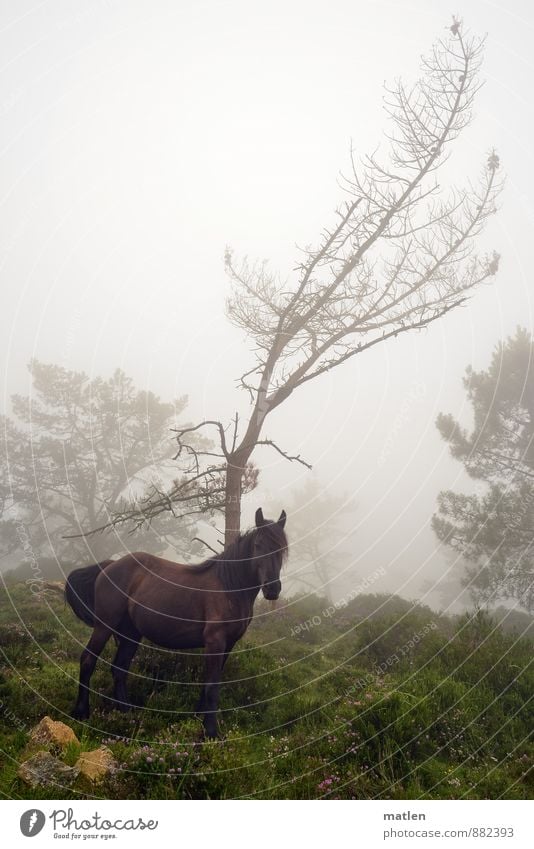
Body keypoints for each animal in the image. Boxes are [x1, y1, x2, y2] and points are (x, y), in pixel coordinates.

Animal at [64, 506, 288, 740]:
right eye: (258, 545)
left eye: (281, 549)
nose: (273, 589)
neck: (230, 587)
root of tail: (109, 565)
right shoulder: (215, 642)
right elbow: (212, 686)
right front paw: (211, 732)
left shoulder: (229, 644)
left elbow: (209, 684)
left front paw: (199, 720)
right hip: (104, 626)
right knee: (88, 660)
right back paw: (82, 712)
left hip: (130, 633)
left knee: (119, 669)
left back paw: (127, 712)